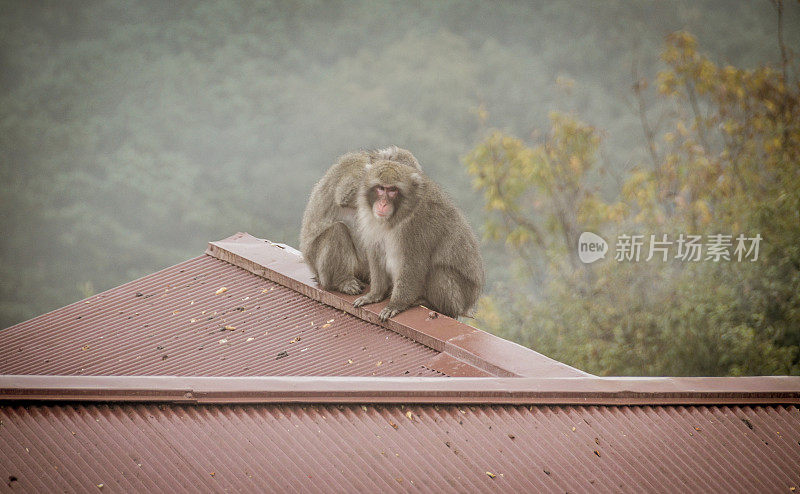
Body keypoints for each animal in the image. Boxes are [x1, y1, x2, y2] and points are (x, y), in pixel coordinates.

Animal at [354, 158, 484, 320]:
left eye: (392, 190)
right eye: (380, 188)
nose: (383, 204)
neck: (399, 216)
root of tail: (468, 305)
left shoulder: (416, 226)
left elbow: (414, 264)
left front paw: (396, 304)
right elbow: (376, 253)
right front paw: (375, 295)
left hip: (460, 298)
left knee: (439, 272)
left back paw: (433, 305)